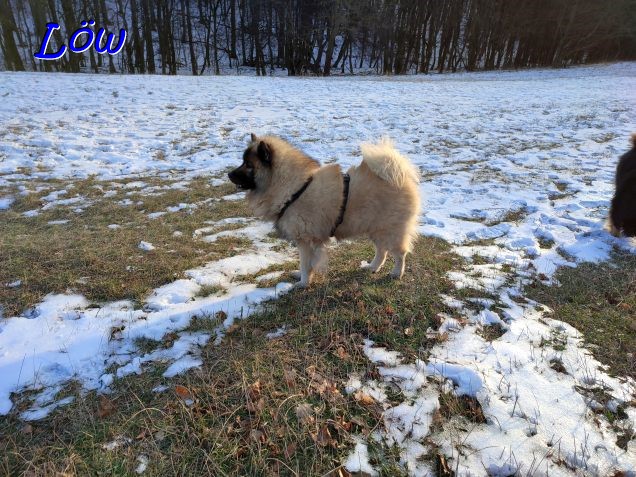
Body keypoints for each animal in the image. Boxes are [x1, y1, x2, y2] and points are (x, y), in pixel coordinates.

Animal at [229, 133, 422, 286]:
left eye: (248, 165)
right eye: (243, 162)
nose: (229, 174)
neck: (293, 188)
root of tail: (400, 176)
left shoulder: (305, 240)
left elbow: (305, 264)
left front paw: (303, 283)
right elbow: (306, 265)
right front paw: (301, 277)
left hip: (390, 230)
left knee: (399, 253)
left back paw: (396, 273)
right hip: (375, 228)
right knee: (382, 251)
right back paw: (372, 267)